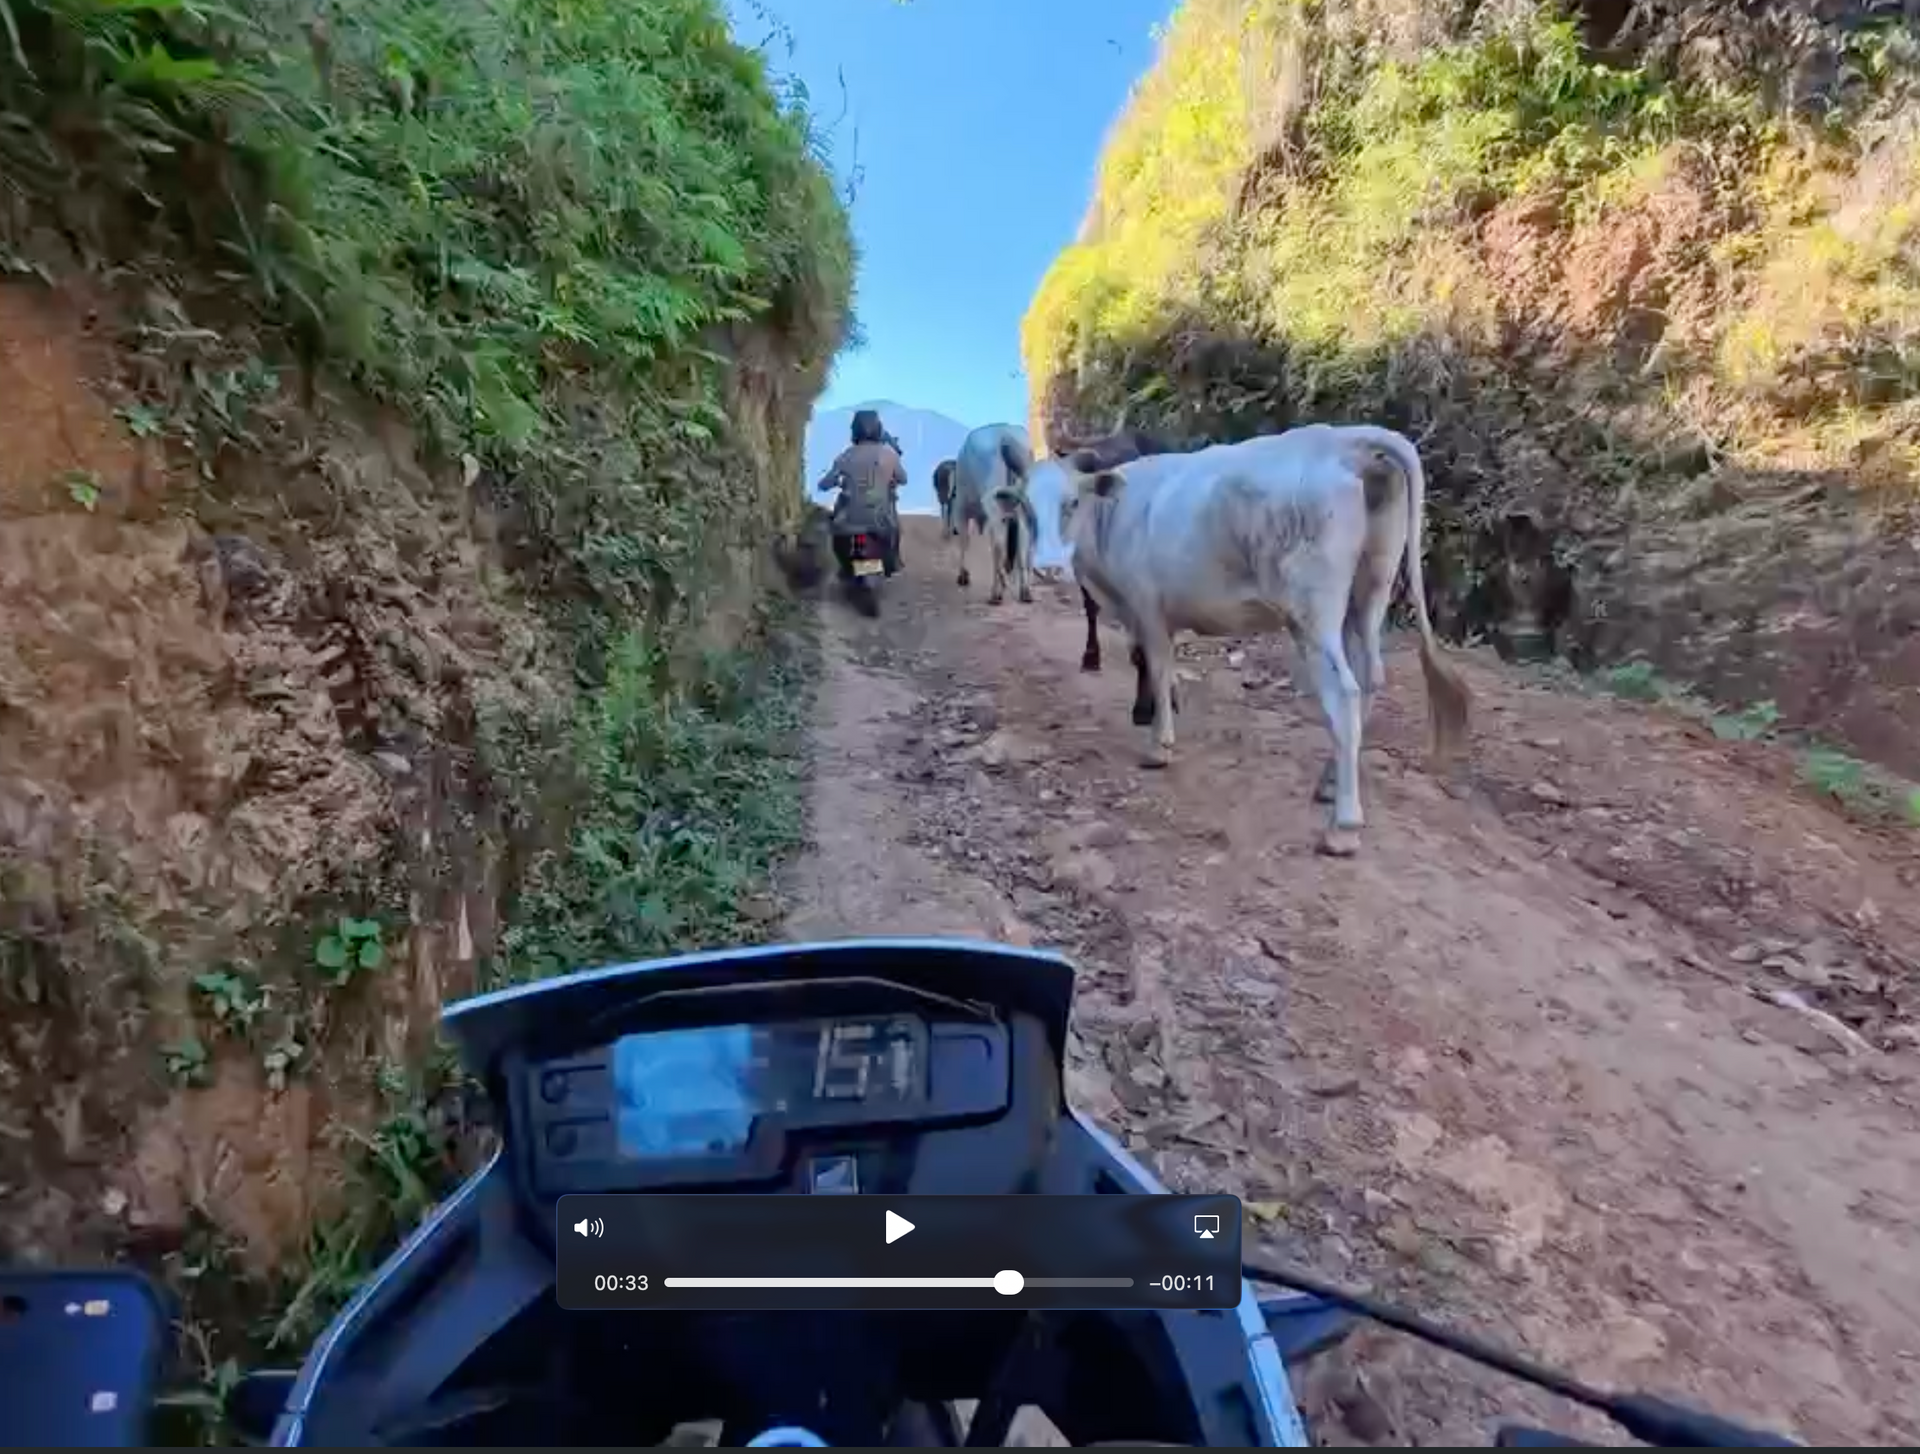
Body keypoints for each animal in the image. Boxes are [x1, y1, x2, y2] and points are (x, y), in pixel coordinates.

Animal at [947, 424, 1037, 605]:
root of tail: (1005, 434)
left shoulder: (961, 510)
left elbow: (964, 541)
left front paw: (963, 575)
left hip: (993, 507)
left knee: (998, 545)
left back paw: (996, 592)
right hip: (1021, 508)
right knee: (1022, 546)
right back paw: (1025, 591)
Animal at [1059, 424, 1470, 857]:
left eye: (1071, 501)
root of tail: (1346, 439)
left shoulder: (1147, 607)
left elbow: (1155, 665)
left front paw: (1158, 744)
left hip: (1314, 610)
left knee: (1344, 694)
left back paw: (1342, 828)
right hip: (1369, 593)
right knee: (1370, 677)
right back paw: (1328, 785)